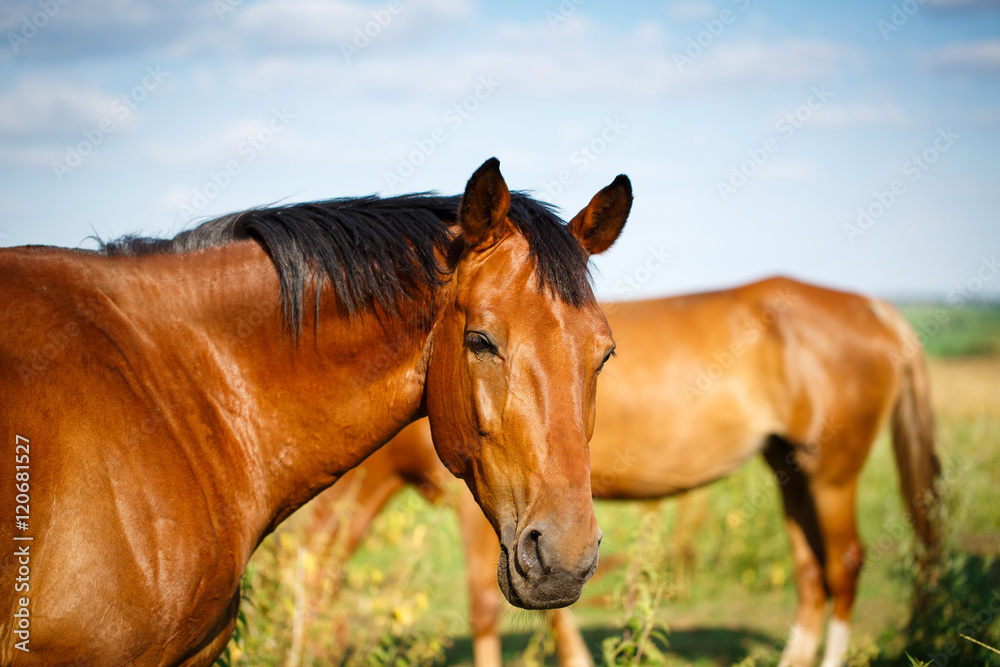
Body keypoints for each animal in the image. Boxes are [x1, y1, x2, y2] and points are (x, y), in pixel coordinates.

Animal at [304, 276, 940, 667]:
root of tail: (878, 311)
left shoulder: (486, 512)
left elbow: (487, 606)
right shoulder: (539, 532)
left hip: (831, 474)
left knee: (843, 565)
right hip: (790, 469)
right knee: (812, 574)